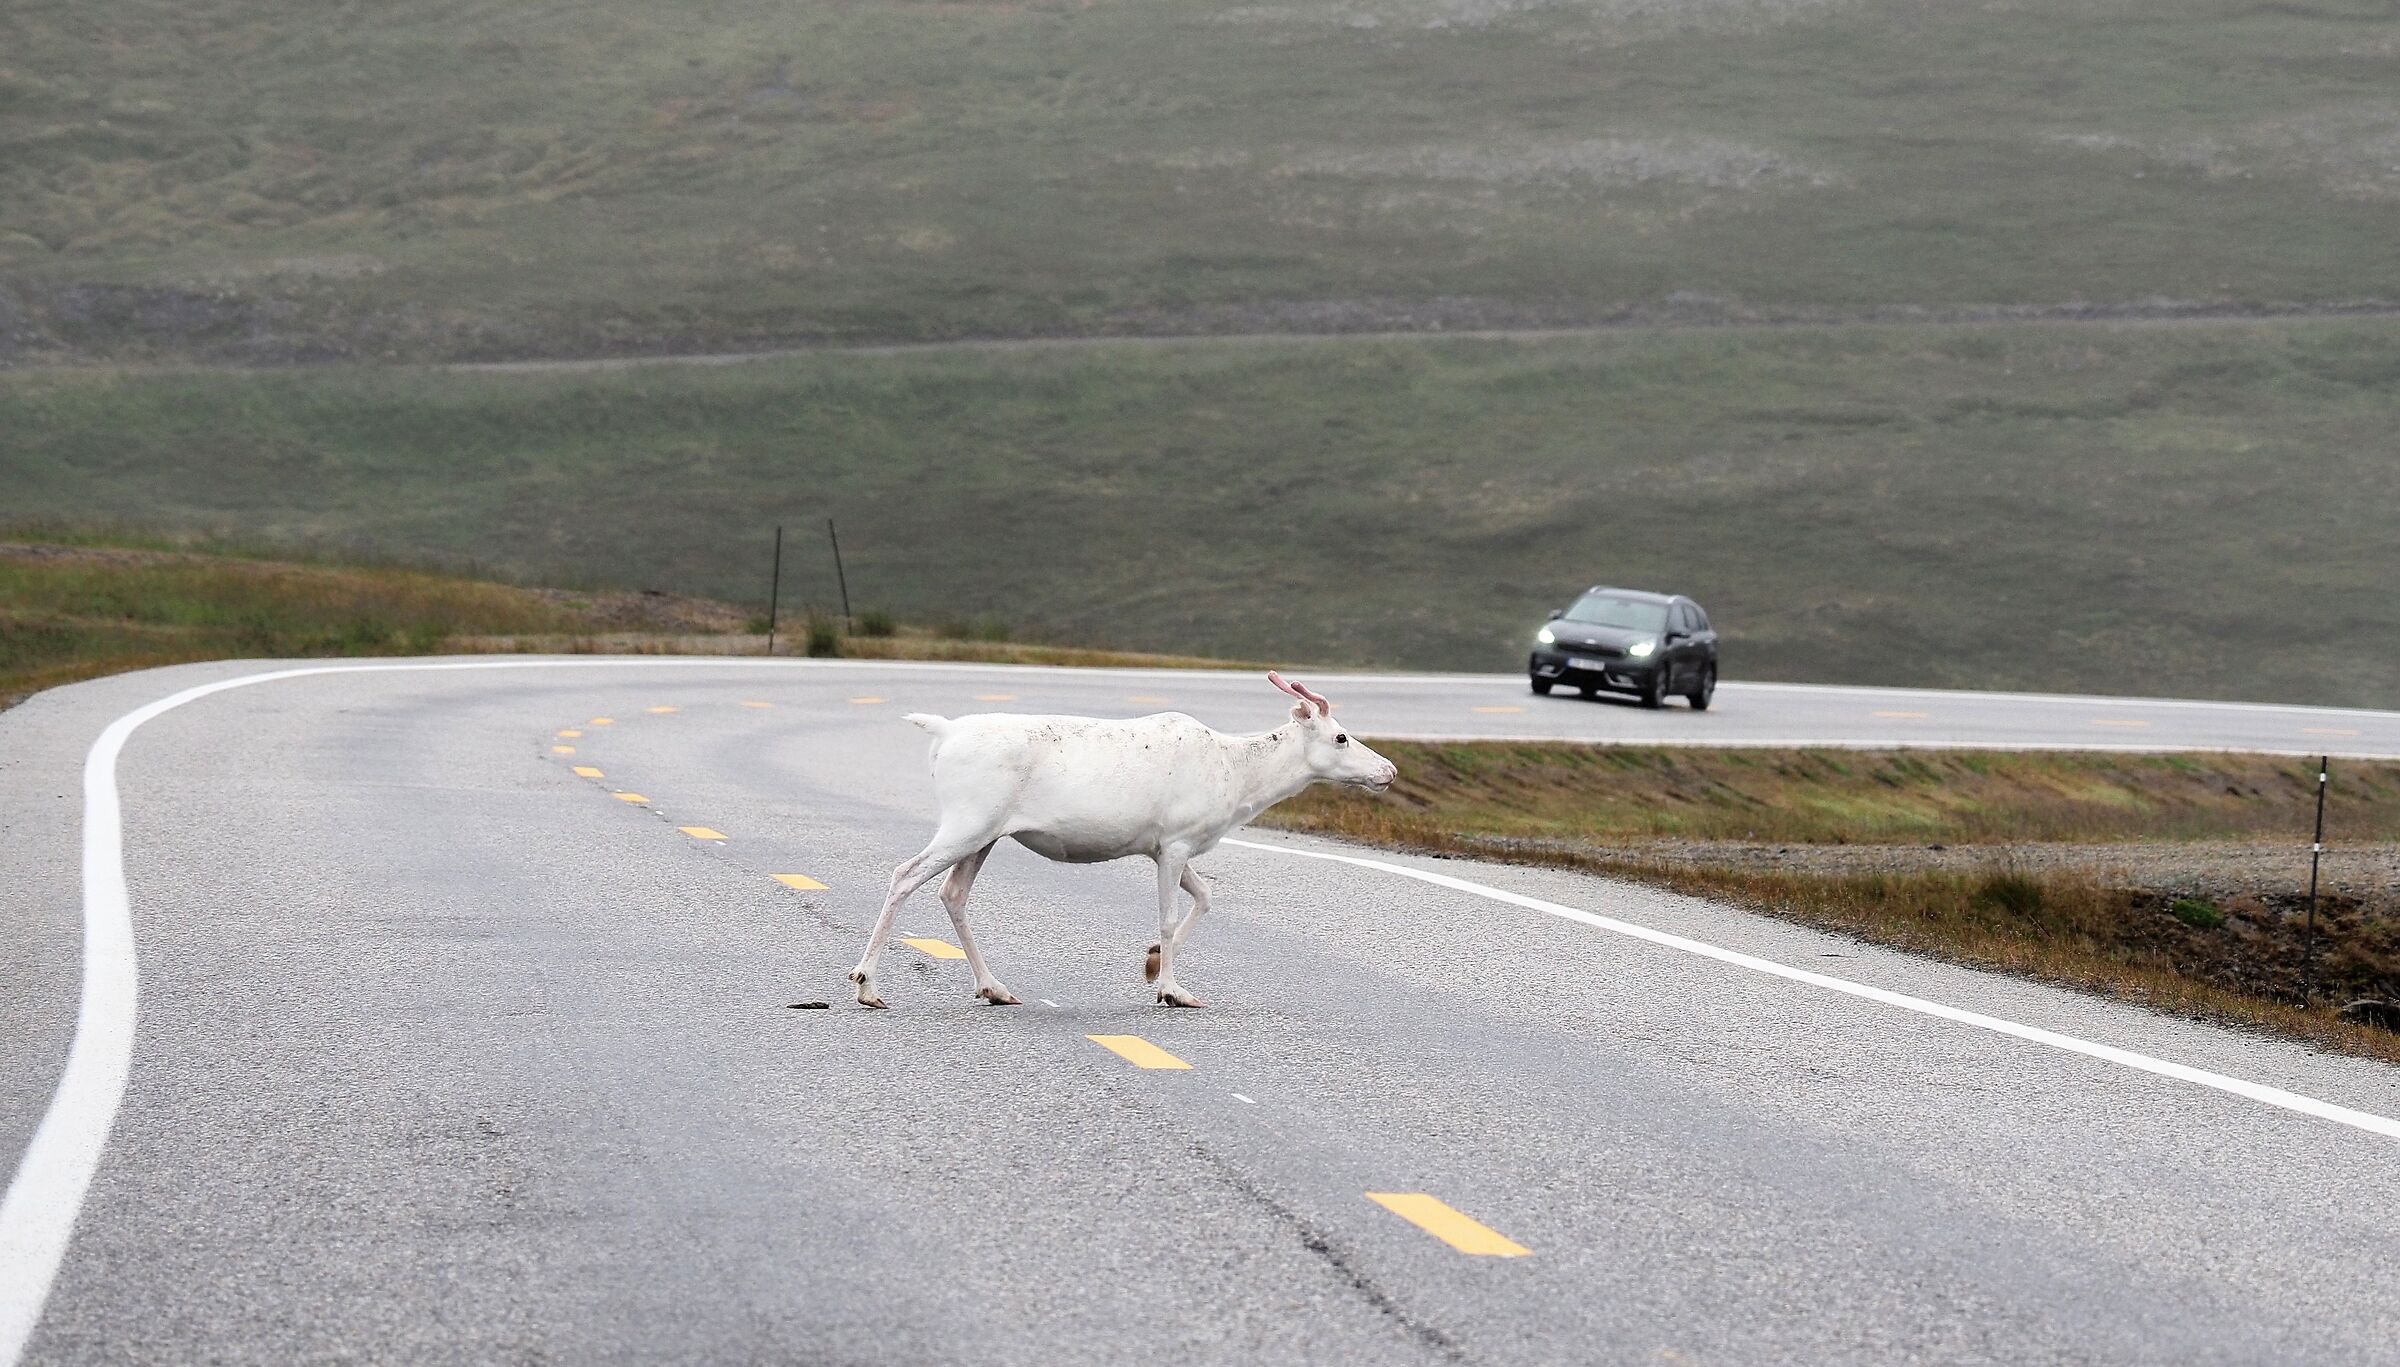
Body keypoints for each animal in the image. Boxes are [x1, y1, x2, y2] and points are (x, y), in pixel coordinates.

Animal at [846, 672, 1397, 1009]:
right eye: (1341, 737)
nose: (1388, 770)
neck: (1239, 781)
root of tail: (941, 734)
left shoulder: (1165, 846)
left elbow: (1205, 897)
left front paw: (1151, 965)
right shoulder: (1176, 843)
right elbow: (1170, 917)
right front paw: (1173, 989)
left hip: (985, 834)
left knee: (953, 893)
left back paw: (993, 987)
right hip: (967, 822)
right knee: (905, 875)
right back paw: (867, 985)